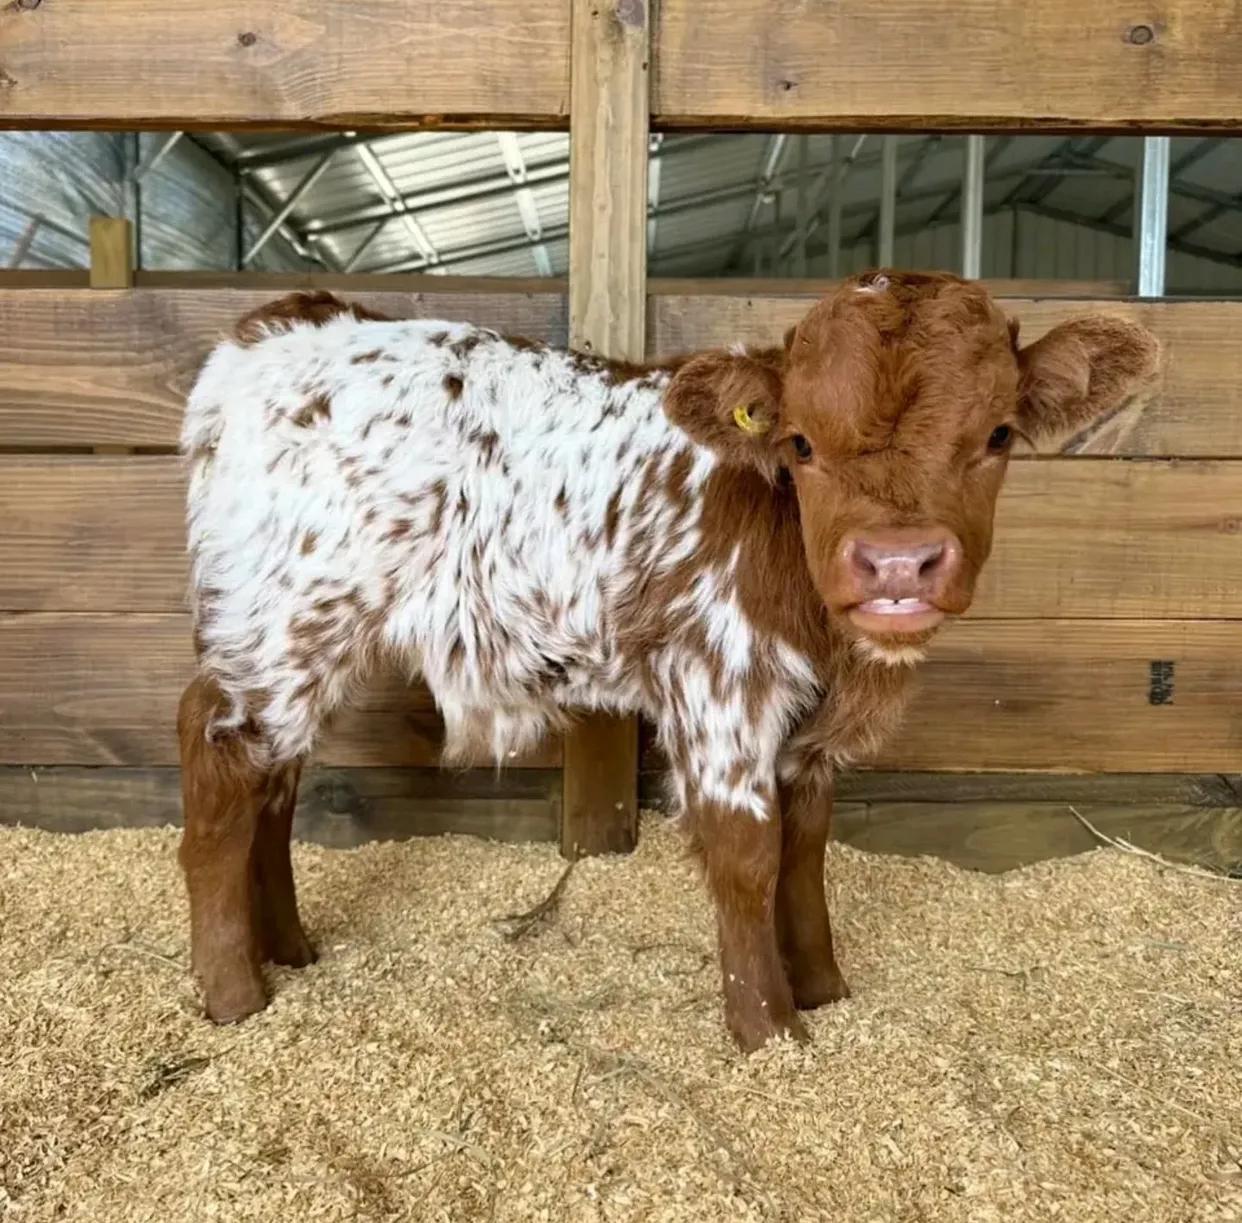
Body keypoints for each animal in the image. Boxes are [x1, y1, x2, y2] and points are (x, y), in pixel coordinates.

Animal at [177, 272, 1158, 1051]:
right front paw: (768, 1027)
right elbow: (749, 851)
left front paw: (824, 988)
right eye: (801, 444)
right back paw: (235, 990)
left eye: (998, 435)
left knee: (277, 778)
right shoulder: (718, 683)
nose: (896, 564)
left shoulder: (807, 731)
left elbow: (807, 847)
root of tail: (293, 316)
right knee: (220, 755)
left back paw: (290, 948)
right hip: (282, 618)